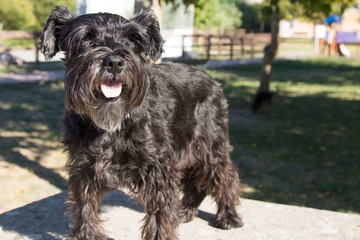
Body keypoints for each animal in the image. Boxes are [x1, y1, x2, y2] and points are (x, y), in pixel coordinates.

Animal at [40, 6, 243, 240]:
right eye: (87, 37)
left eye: (132, 38)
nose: (115, 62)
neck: (111, 124)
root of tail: (212, 80)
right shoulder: (84, 167)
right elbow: (84, 206)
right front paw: (87, 235)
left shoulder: (158, 168)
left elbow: (160, 214)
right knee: (196, 182)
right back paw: (185, 210)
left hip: (210, 146)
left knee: (225, 176)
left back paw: (228, 216)